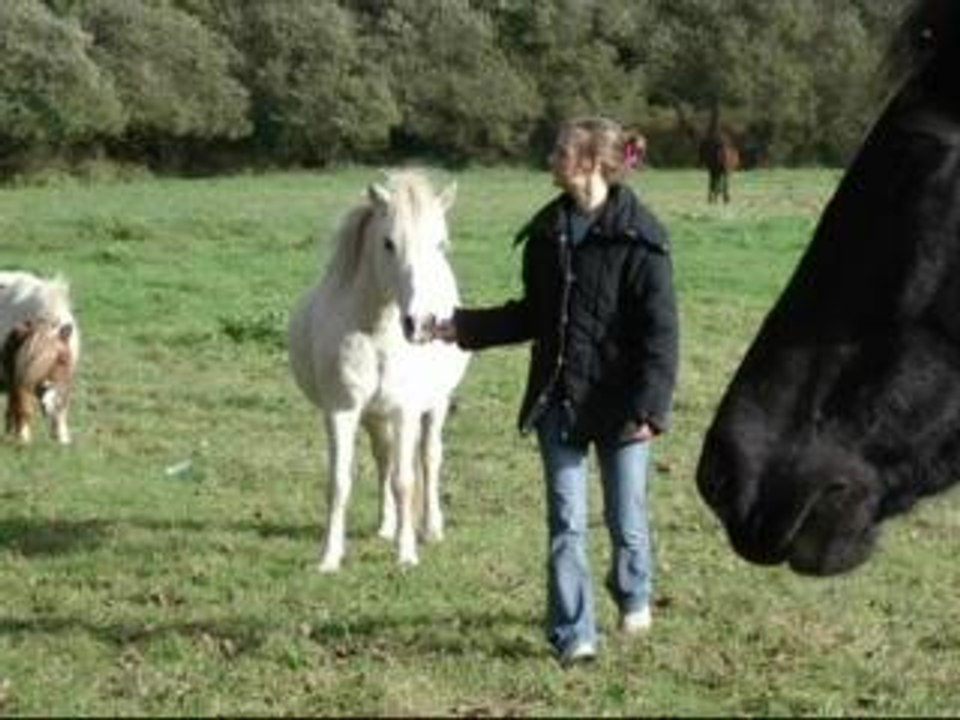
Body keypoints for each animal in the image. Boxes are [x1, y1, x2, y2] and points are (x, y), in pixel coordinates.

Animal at [0, 272, 80, 444]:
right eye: (32, 360)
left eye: (63, 360)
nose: (47, 403)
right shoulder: (20, 377)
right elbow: (23, 405)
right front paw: (23, 437)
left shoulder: (65, 380)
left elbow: (62, 406)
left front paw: (62, 437)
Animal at [288, 170, 470, 572]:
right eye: (389, 243)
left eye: (441, 243)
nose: (422, 323)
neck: (377, 332)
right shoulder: (342, 411)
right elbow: (340, 481)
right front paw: (329, 558)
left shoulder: (405, 411)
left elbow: (406, 481)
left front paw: (407, 555)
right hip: (374, 416)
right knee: (384, 459)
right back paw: (386, 526)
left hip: (434, 405)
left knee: (429, 458)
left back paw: (431, 528)